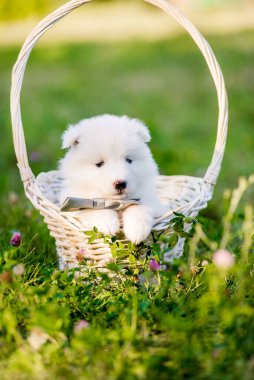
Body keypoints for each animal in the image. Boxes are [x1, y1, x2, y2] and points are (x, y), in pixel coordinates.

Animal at [59, 114, 167, 243]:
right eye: (99, 163)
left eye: (129, 160)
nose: (120, 183)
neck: (116, 202)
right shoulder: (77, 198)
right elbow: (96, 205)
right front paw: (108, 224)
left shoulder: (149, 199)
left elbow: (139, 207)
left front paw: (137, 231)